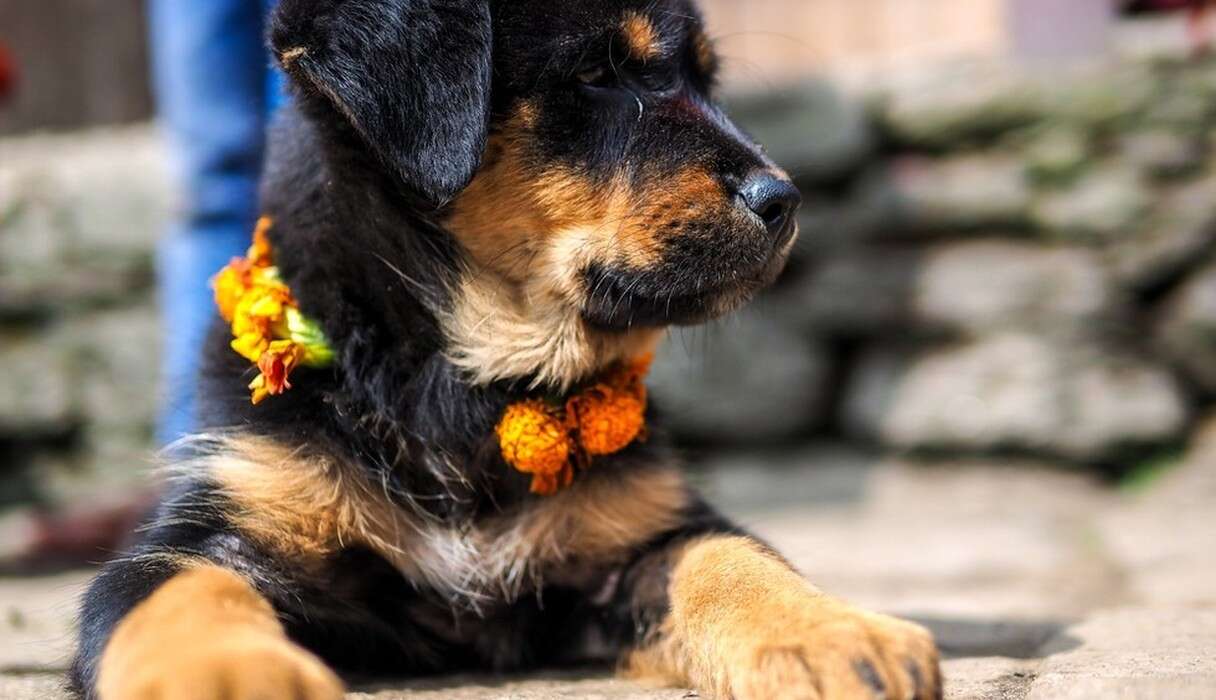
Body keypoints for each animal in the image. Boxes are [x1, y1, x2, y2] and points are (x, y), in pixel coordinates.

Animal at [69, 1, 938, 700]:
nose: (785, 200)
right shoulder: (222, 521)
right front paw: (233, 676)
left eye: (706, 78)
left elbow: (731, 558)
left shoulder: (640, 532)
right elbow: (179, 591)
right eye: (597, 73)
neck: (469, 381)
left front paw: (839, 635)